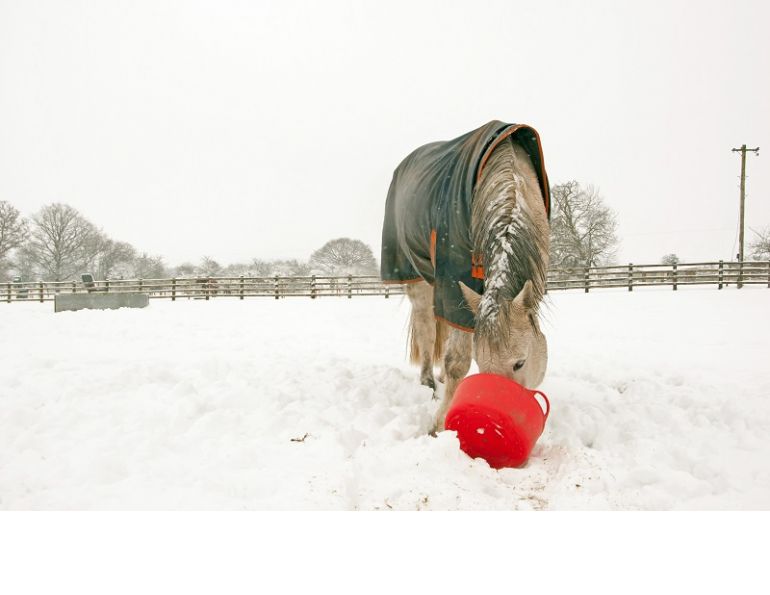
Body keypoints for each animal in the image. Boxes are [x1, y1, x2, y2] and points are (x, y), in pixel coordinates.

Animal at [381, 121, 551, 432]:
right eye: (482, 365)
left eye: (520, 363)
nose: (500, 413)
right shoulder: (453, 279)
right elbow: (456, 360)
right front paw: (439, 423)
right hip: (417, 279)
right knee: (426, 328)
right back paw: (429, 381)